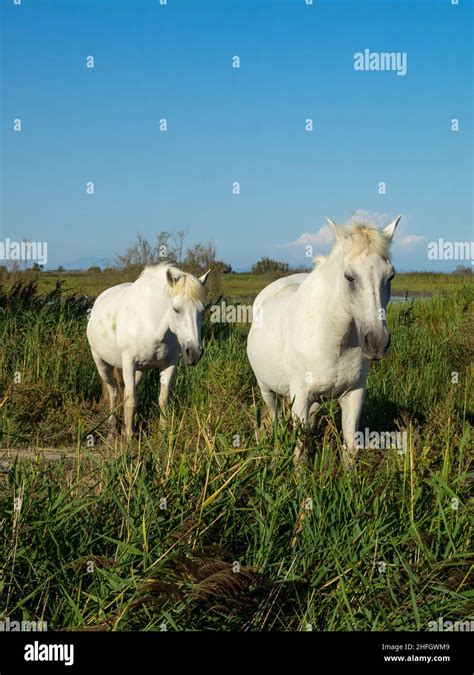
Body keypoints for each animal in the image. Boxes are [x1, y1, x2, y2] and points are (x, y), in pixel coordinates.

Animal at [85, 264, 211, 438]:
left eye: (202, 310)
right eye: (176, 309)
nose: (194, 353)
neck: (151, 324)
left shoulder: (170, 363)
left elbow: (162, 399)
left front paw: (163, 432)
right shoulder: (129, 363)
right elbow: (131, 400)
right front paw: (130, 437)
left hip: (139, 370)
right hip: (101, 362)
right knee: (113, 390)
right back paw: (113, 425)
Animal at [246, 214, 402, 468]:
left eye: (390, 276)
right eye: (349, 277)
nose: (377, 343)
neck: (333, 342)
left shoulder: (354, 394)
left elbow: (350, 446)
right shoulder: (300, 397)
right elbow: (299, 451)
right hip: (266, 389)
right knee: (276, 419)